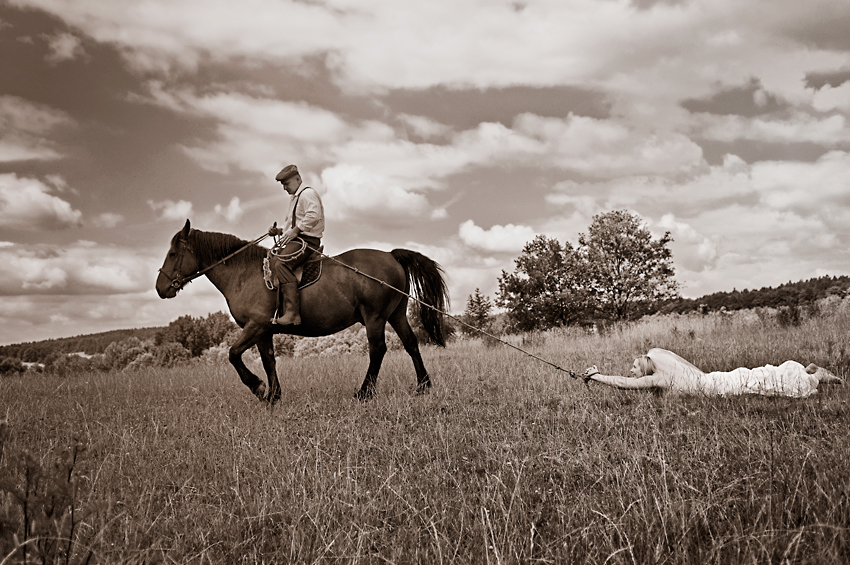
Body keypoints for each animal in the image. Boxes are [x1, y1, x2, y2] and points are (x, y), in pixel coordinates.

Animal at [158, 219, 450, 400]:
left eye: (173, 254)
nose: (160, 288)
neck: (245, 273)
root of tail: (390, 255)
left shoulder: (255, 325)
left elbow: (233, 354)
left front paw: (257, 387)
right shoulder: (263, 332)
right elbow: (268, 360)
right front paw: (273, 396)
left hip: (375, 317)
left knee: (378, 350)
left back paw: (365, 392)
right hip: (396, 314)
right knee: (411, 343)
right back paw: (423, 386)